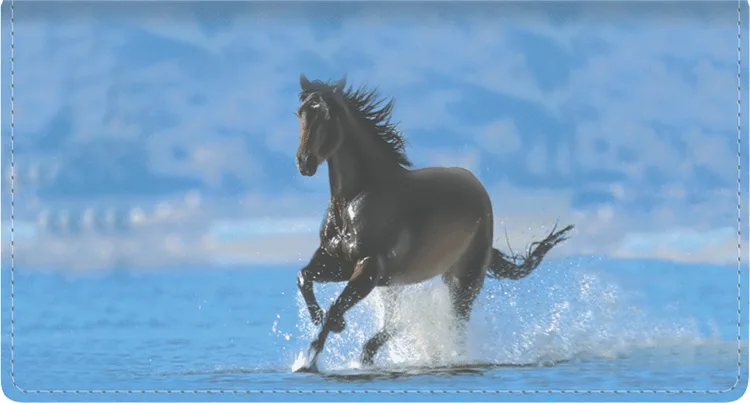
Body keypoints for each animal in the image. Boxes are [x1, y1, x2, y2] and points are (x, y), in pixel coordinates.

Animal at [293, 74, 574, 373]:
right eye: (300, 112)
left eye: (326, 114)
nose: (304, 163)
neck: (354, 200)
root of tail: (477, 187)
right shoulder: (338, 261)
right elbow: (304, 276)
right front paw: (327, 322)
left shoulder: (369, 267)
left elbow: (337, 305)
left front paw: (309, 359)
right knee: (396, 324)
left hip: (464, 279)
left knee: (450, 324)